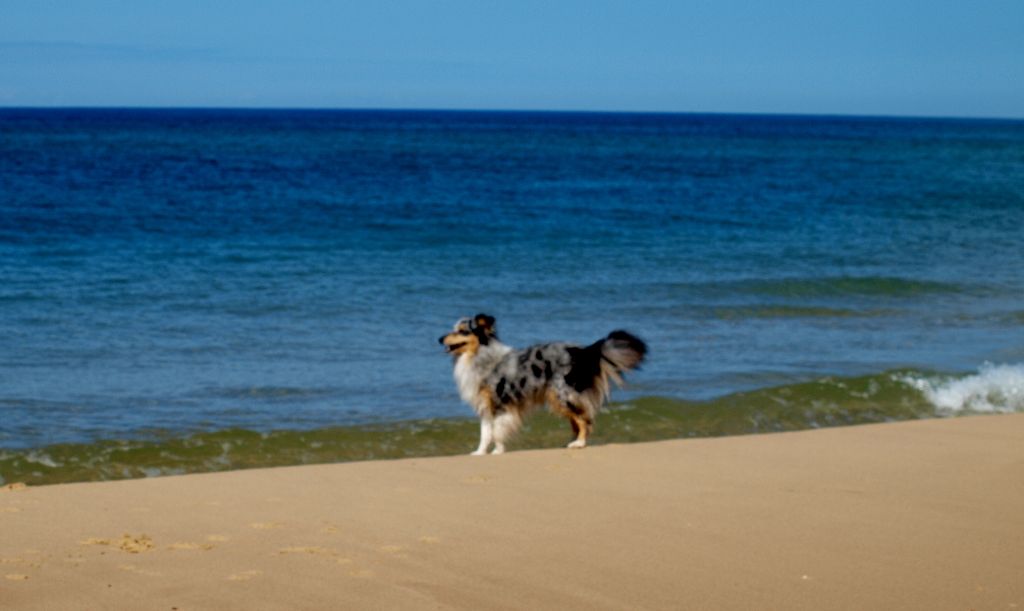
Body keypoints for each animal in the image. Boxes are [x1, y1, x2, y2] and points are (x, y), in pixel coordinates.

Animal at [440, 315, 647, 452]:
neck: (480, 356)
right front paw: (480, 453)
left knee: (584, 420)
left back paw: (579, 443)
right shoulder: (485, 406)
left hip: (562, 393)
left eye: (462, 331)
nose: (439, 338)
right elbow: (485, 433)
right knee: (577, 421)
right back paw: (571, 442)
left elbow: (497, 431)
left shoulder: (501, 403)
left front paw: (498, 452)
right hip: (560, 397)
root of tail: (582, 351)